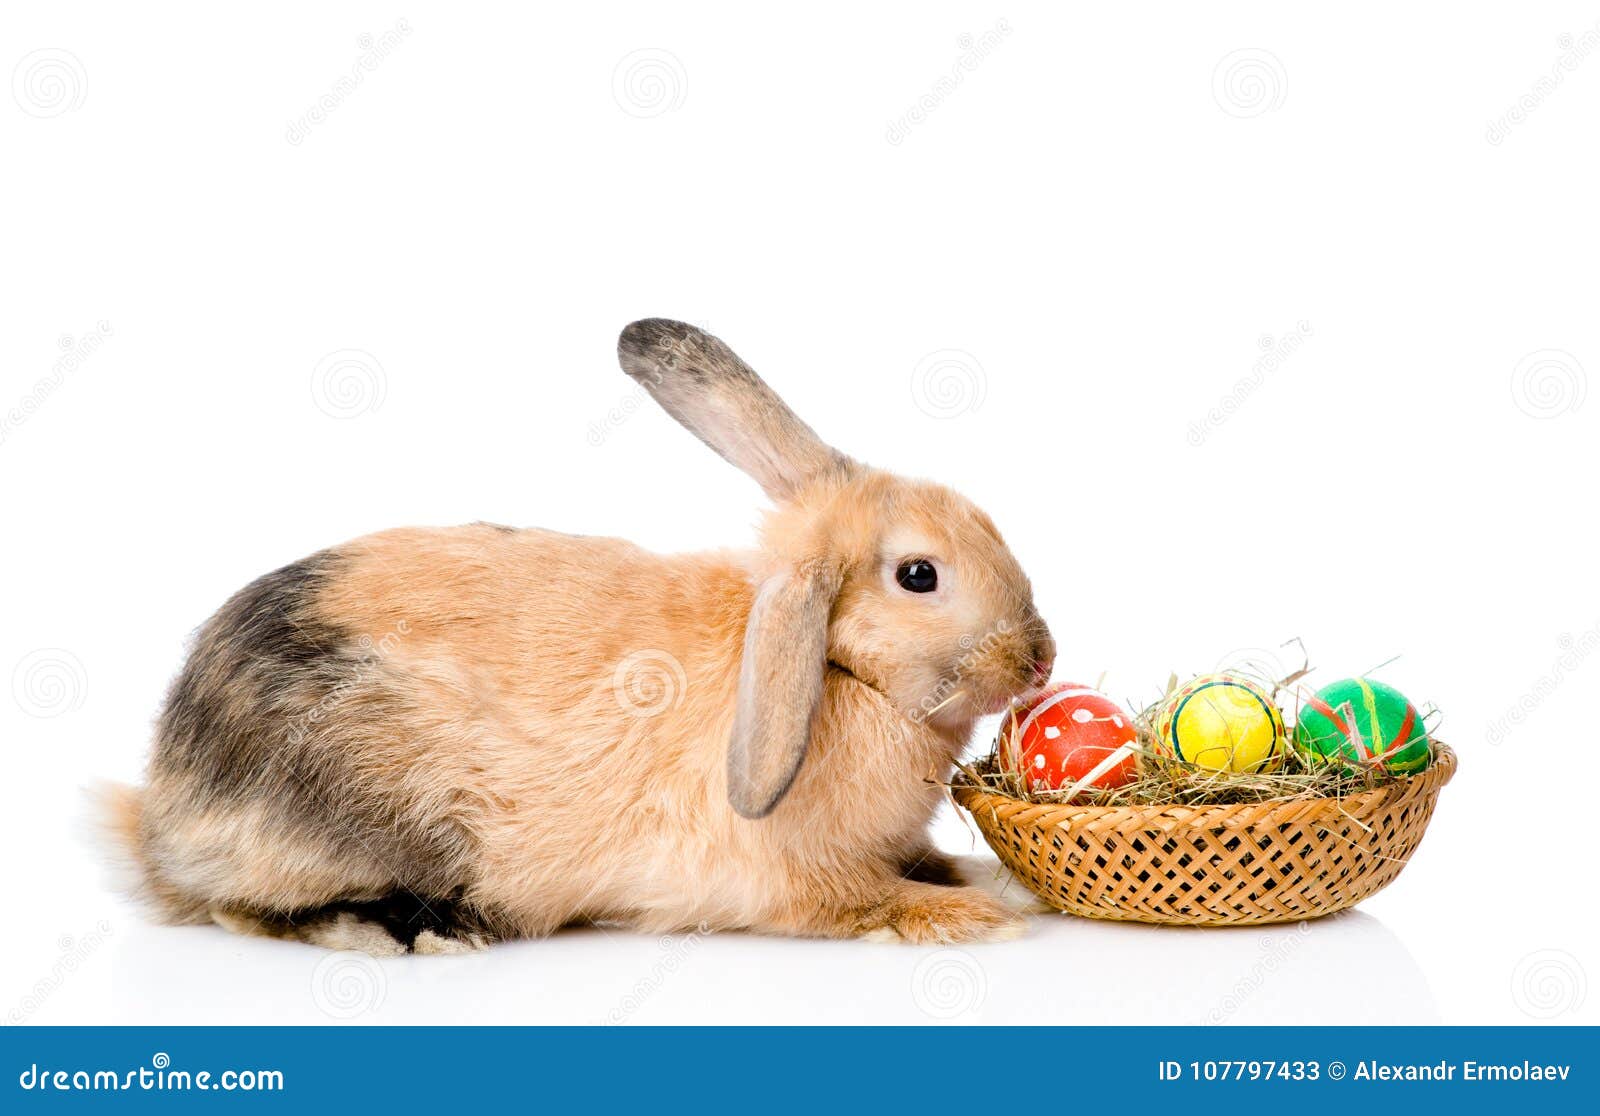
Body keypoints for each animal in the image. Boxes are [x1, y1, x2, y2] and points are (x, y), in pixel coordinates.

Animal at [97, 319, 1055, 954]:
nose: (1040, 659)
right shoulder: (798, 881)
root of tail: (163, 806)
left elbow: (931, 862)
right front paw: (978, 918)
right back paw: (421, 931)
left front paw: (985, 880)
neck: (833, 667)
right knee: (247, 910)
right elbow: (868, 900)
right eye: (919, 575)